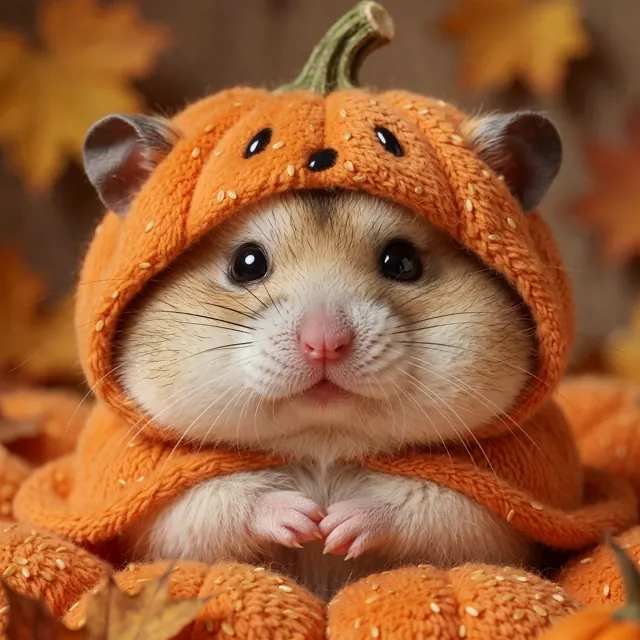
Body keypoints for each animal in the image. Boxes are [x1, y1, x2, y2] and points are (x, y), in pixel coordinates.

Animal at [116, 188, 537, 600]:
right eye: (246, 264)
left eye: (402, 262)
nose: (323, 344)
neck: (324, 438)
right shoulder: (161, 511)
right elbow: (212, 503)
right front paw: (305, 520)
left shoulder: (494, 516)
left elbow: (433, 506)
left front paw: (335, 526)